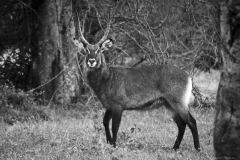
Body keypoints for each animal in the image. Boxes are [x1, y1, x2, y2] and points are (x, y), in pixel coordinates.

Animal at [72, 21, 201, 151]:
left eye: (99, 50)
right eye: (86, 50)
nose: (91, 61)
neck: (107, 78)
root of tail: (188, 77)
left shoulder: (118, 106)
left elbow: (115, 126)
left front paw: (114, 145)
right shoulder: (109, 106)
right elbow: (105, 122)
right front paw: (109, 142)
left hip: (178, 103)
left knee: (192, 122)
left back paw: (197, 148)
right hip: (169, 105)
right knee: (182, 124)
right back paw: (174, 148)